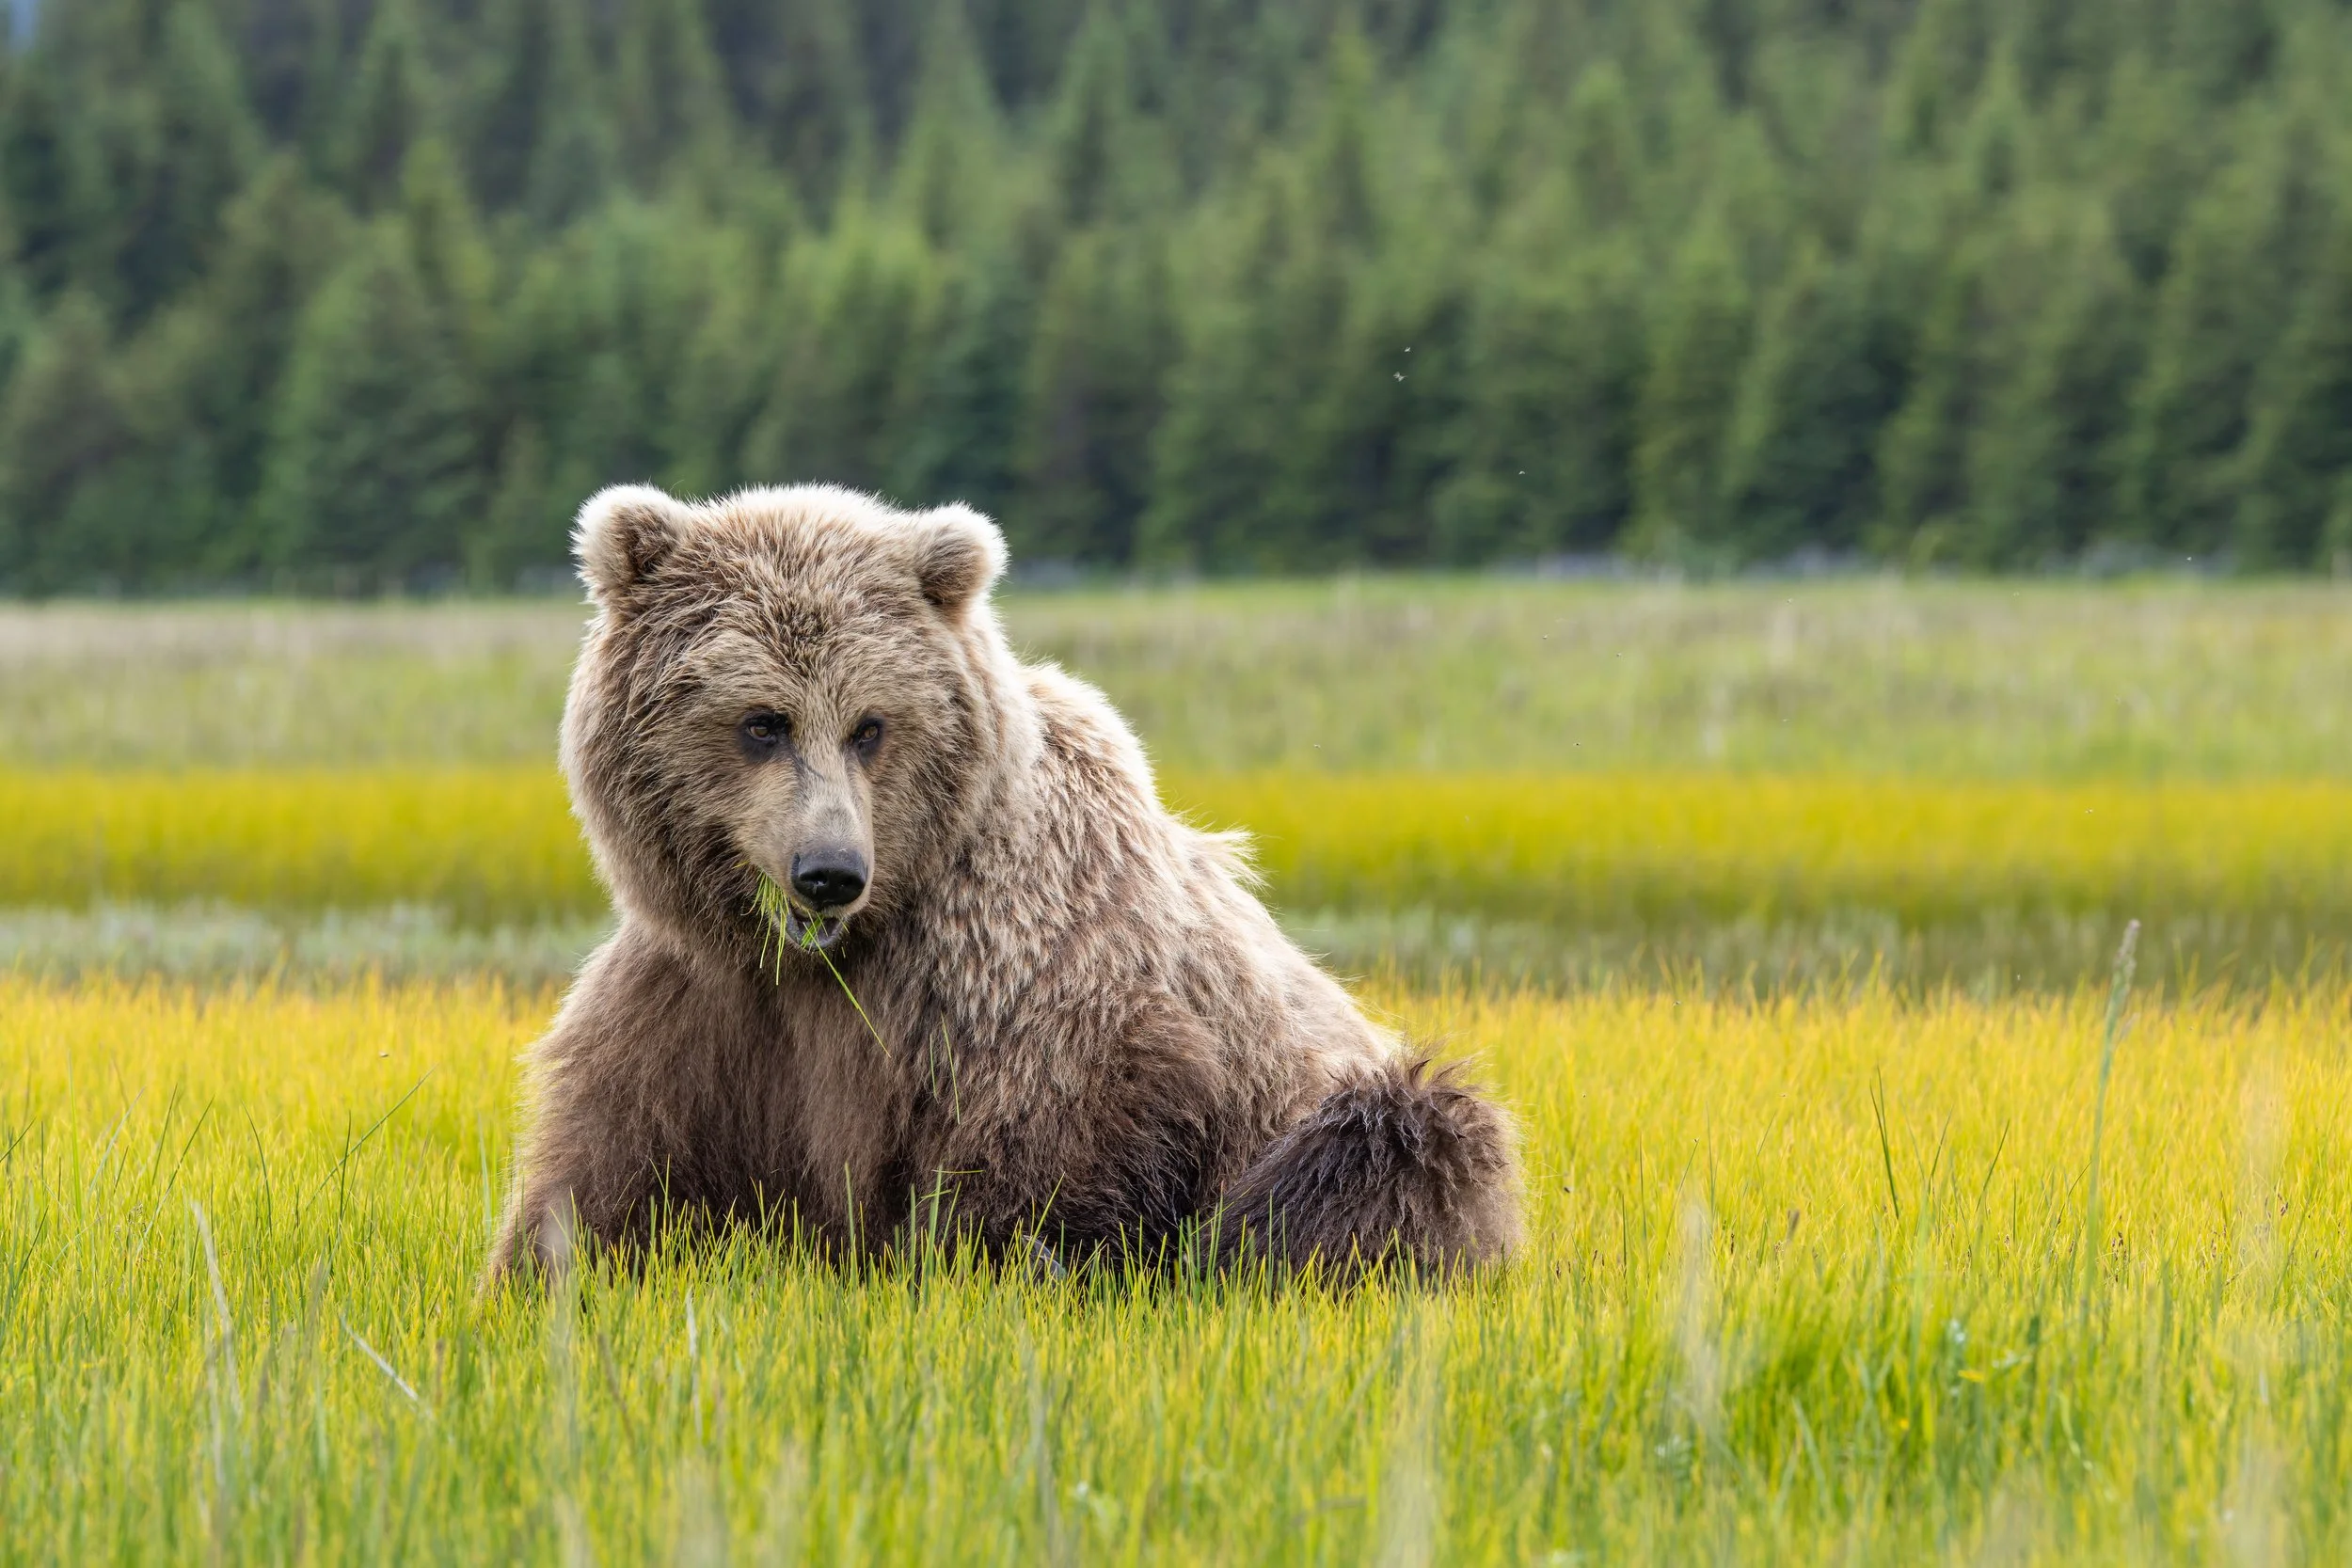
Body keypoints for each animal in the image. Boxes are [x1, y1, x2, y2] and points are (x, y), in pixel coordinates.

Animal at [484, 483, 1521, 1284]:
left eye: (870, 724)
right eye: (762, 721)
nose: (829, 872)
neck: (835, 953)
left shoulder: (1010, 979)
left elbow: (1022, 1175)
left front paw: (972, 1278)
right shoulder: (706, 1004)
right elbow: (613, 1170)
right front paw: (540, 1276)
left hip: (1344, 1108)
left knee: (1389, 1150)